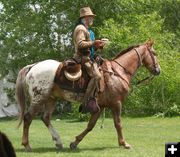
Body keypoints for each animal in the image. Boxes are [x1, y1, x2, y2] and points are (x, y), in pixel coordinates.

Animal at [16, 40, 160, 151]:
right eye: (154, 53)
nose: (158, 70)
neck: (117, 72)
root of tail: (33, 66)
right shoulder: (116, 104)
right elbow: (118, 123)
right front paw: (124, 143)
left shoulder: (99, 106)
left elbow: (90, 125)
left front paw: (74, 143)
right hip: (39, 99)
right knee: (28, 117)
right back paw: (27, 145)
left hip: (51, 99)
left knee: (45, 118)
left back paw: (58, 142)